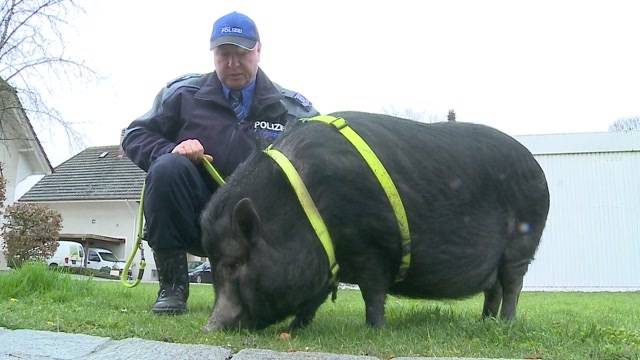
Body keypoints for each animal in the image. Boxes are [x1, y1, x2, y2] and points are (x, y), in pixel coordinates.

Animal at [201, 111, 552, 330]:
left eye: (233, 263)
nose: (209, 328)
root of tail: (537, 167)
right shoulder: (328, 261)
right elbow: (313, 297)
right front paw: (296, 328)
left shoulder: (368, 247)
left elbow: (372, 291)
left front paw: (375, 329)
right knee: (494, 289)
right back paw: (485, 322)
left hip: (522, 242)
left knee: (512, 284)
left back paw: (505, 323)